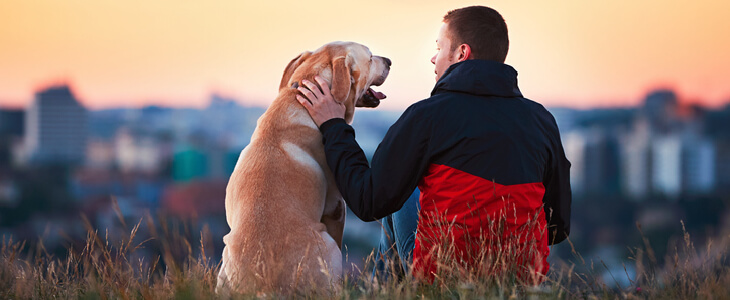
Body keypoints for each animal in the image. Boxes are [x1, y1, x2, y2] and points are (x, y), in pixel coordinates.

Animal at [215, 41, 390, 296]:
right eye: (369, 57)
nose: (389, 61)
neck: (298, 100)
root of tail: (264, 287)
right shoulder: (337, 207)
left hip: (223, 262)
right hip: (328, 246)